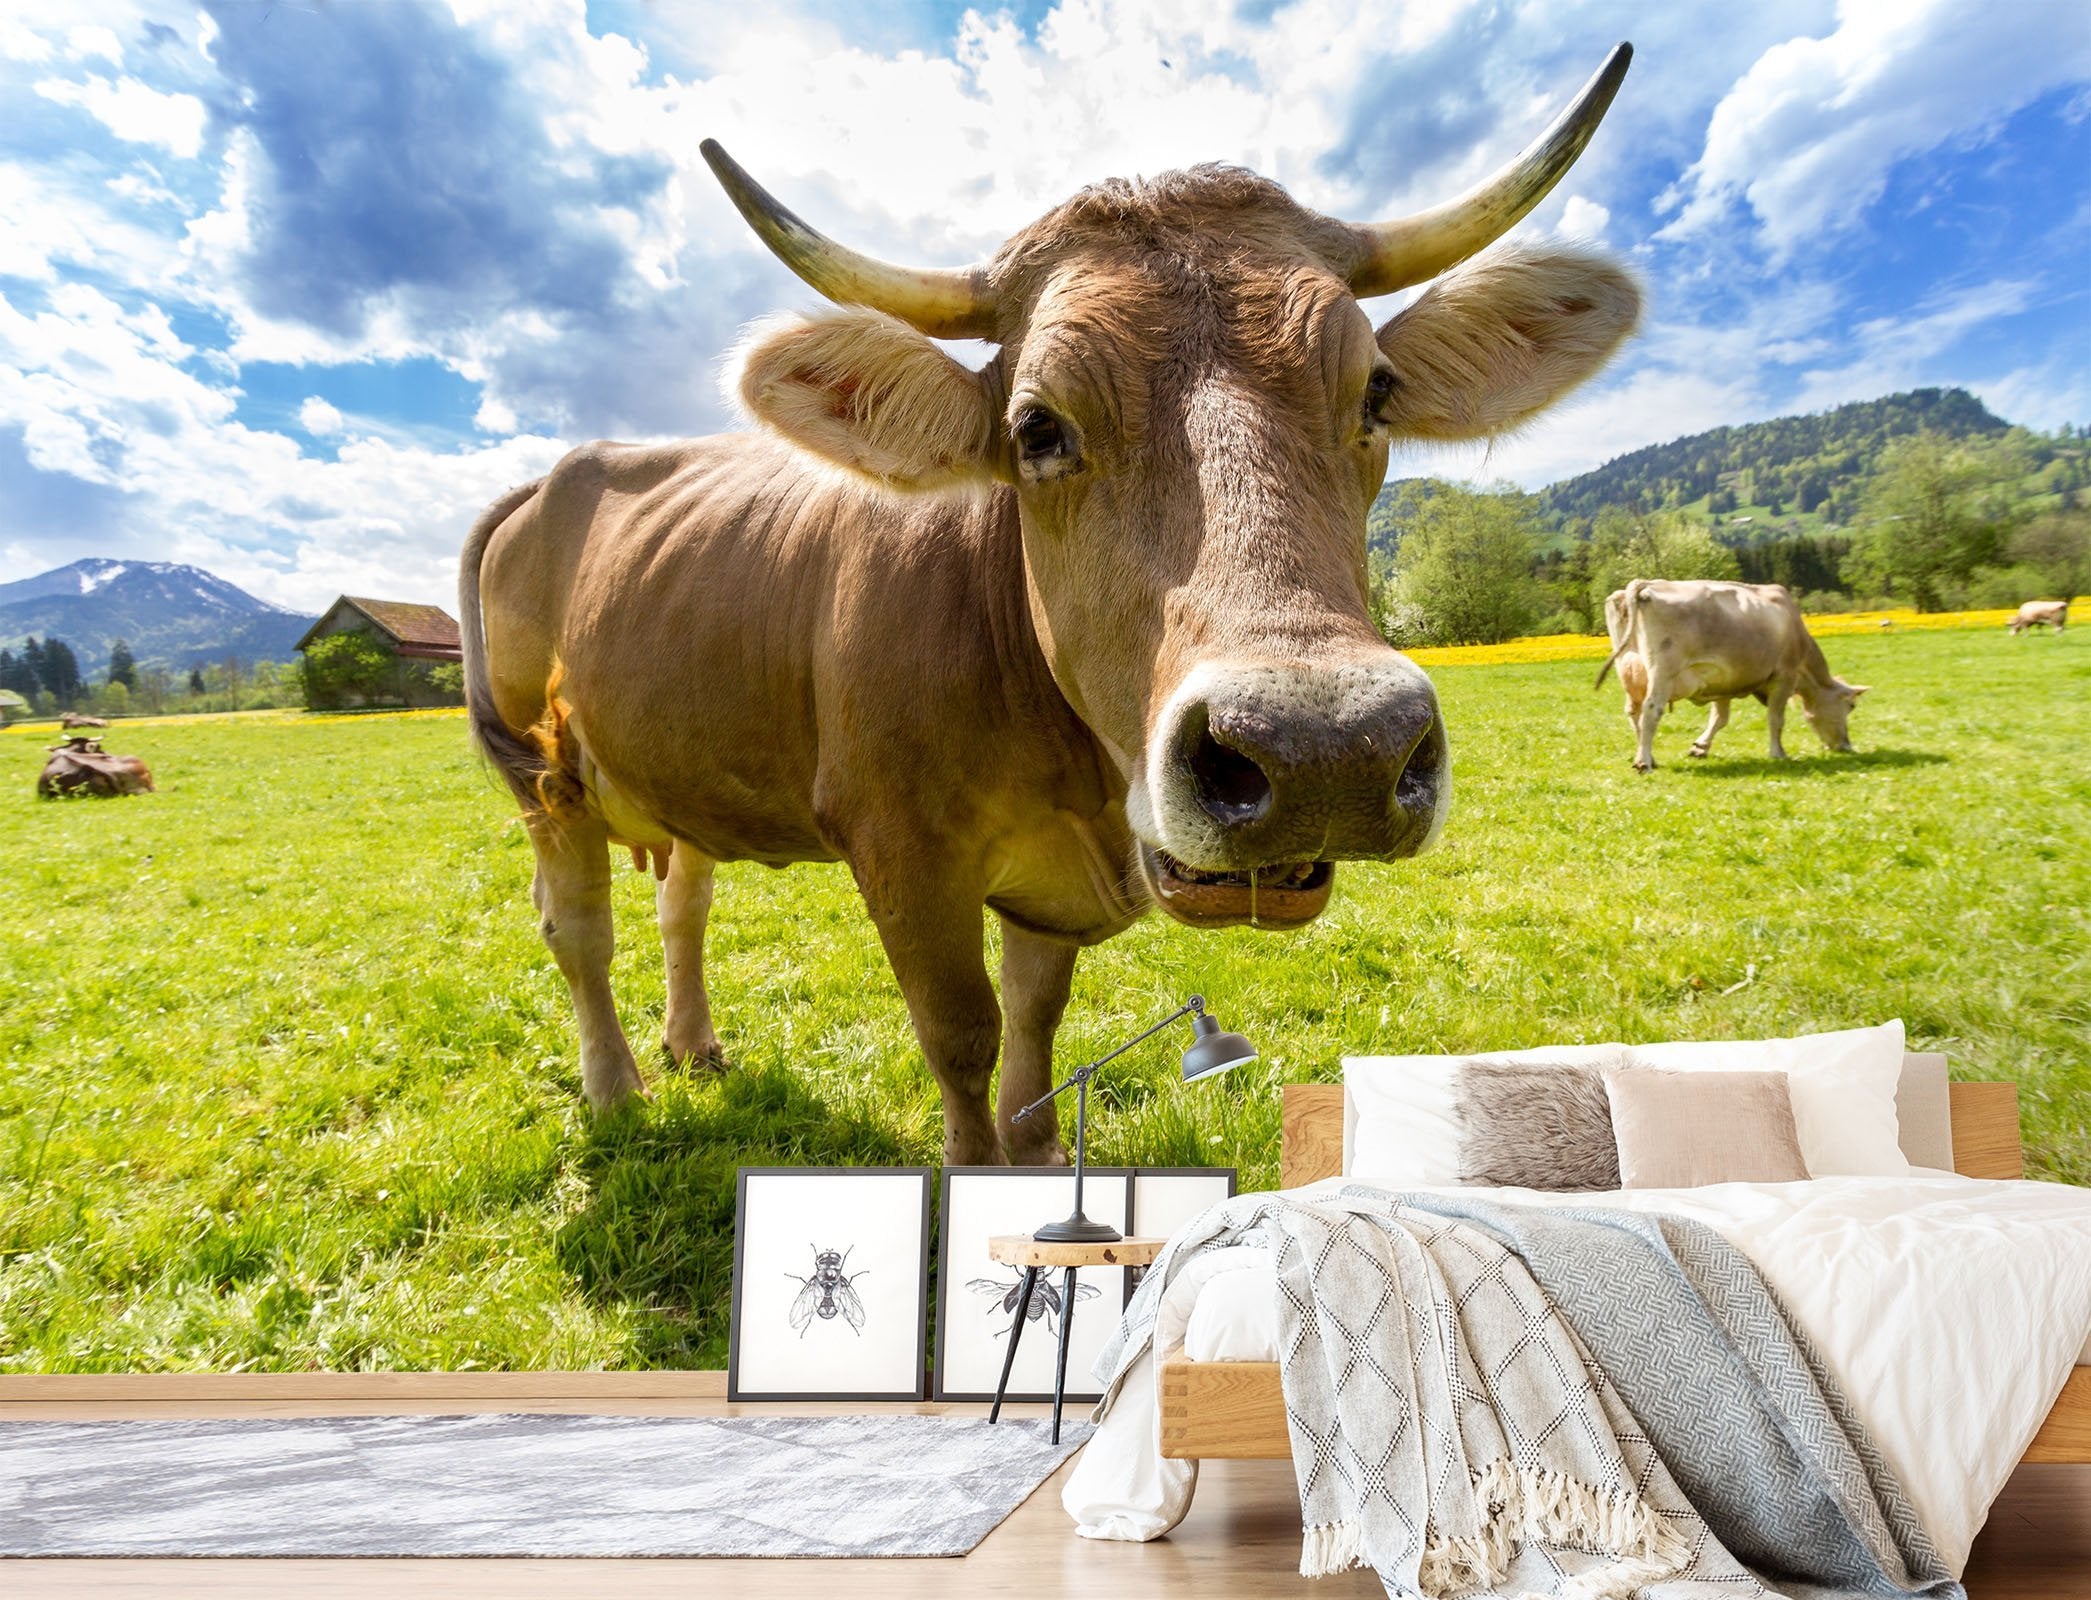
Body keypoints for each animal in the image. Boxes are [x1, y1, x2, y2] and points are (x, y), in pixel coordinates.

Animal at [462, 47, 1643, 1163]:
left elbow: (1034, 1021)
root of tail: (561, 471)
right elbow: (962, 1033)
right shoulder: (902, 853)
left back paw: (694, 1044)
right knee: (578, 929)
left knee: (683, 900)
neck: (1073, 779)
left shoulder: (1048, 889)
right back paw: (617, 1087)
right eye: (1037, 426)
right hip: (546, 778)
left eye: (1377, 393)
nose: (1324, 752)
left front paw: (1032, 1158)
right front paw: (974, 1177)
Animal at [1595, 579, 1868, 772]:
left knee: (1635, 713)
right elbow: (1775, 719)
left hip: (1630, 671)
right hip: (1662, 672)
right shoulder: (1784, 676)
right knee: (1651, 710)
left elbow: (1719, 718)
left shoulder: (1722, 681)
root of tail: (1646, 584)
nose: (1846, 746)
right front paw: (1778, 753)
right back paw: (1644, 762)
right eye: (1851, 706)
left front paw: (1700, 747)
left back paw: (1648, 756)